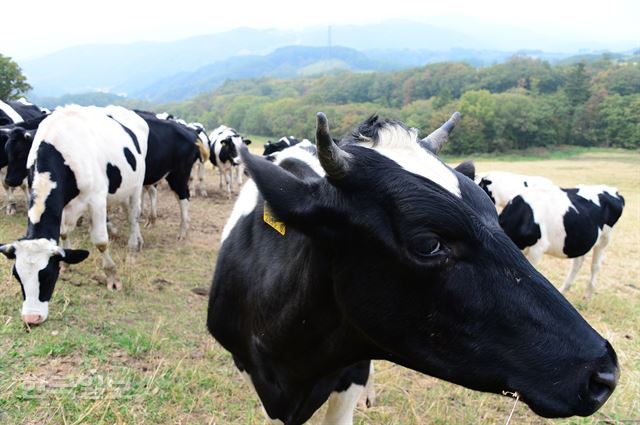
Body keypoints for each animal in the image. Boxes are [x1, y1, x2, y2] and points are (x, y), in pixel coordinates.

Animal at [0, 104, 149, 322]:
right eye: (17, 275)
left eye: (47, 275)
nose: (31, 318)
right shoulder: (65, 204)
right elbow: (63, 233)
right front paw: (66, 264)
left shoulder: (96, 198)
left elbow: (100, 241)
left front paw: (112, 276)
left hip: (137, 185)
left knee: (133, 216)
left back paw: (133, 246)